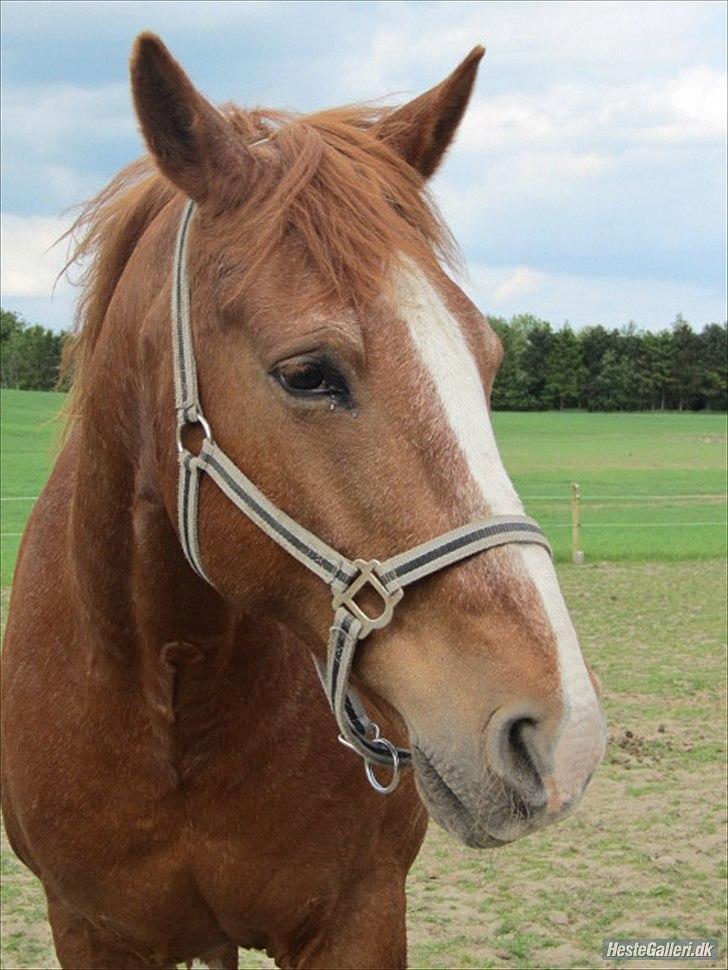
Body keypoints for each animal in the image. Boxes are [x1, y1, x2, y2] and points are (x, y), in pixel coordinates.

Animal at [0, 34, 604, 968]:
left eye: (490, 359)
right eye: (307, 373)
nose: (560, 731)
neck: (172, 689)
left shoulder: (358, 915)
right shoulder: (88, 929)